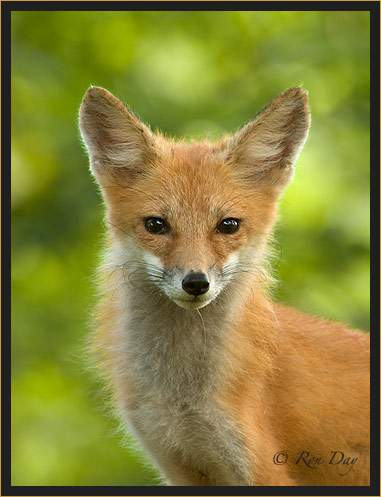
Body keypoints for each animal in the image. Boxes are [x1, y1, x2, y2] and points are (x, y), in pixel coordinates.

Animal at [78, 85, 368, 484]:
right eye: (155, 225)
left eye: (228, 225)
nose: (195, 282)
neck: (183, 401)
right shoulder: (180, 466)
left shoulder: (264, 470)